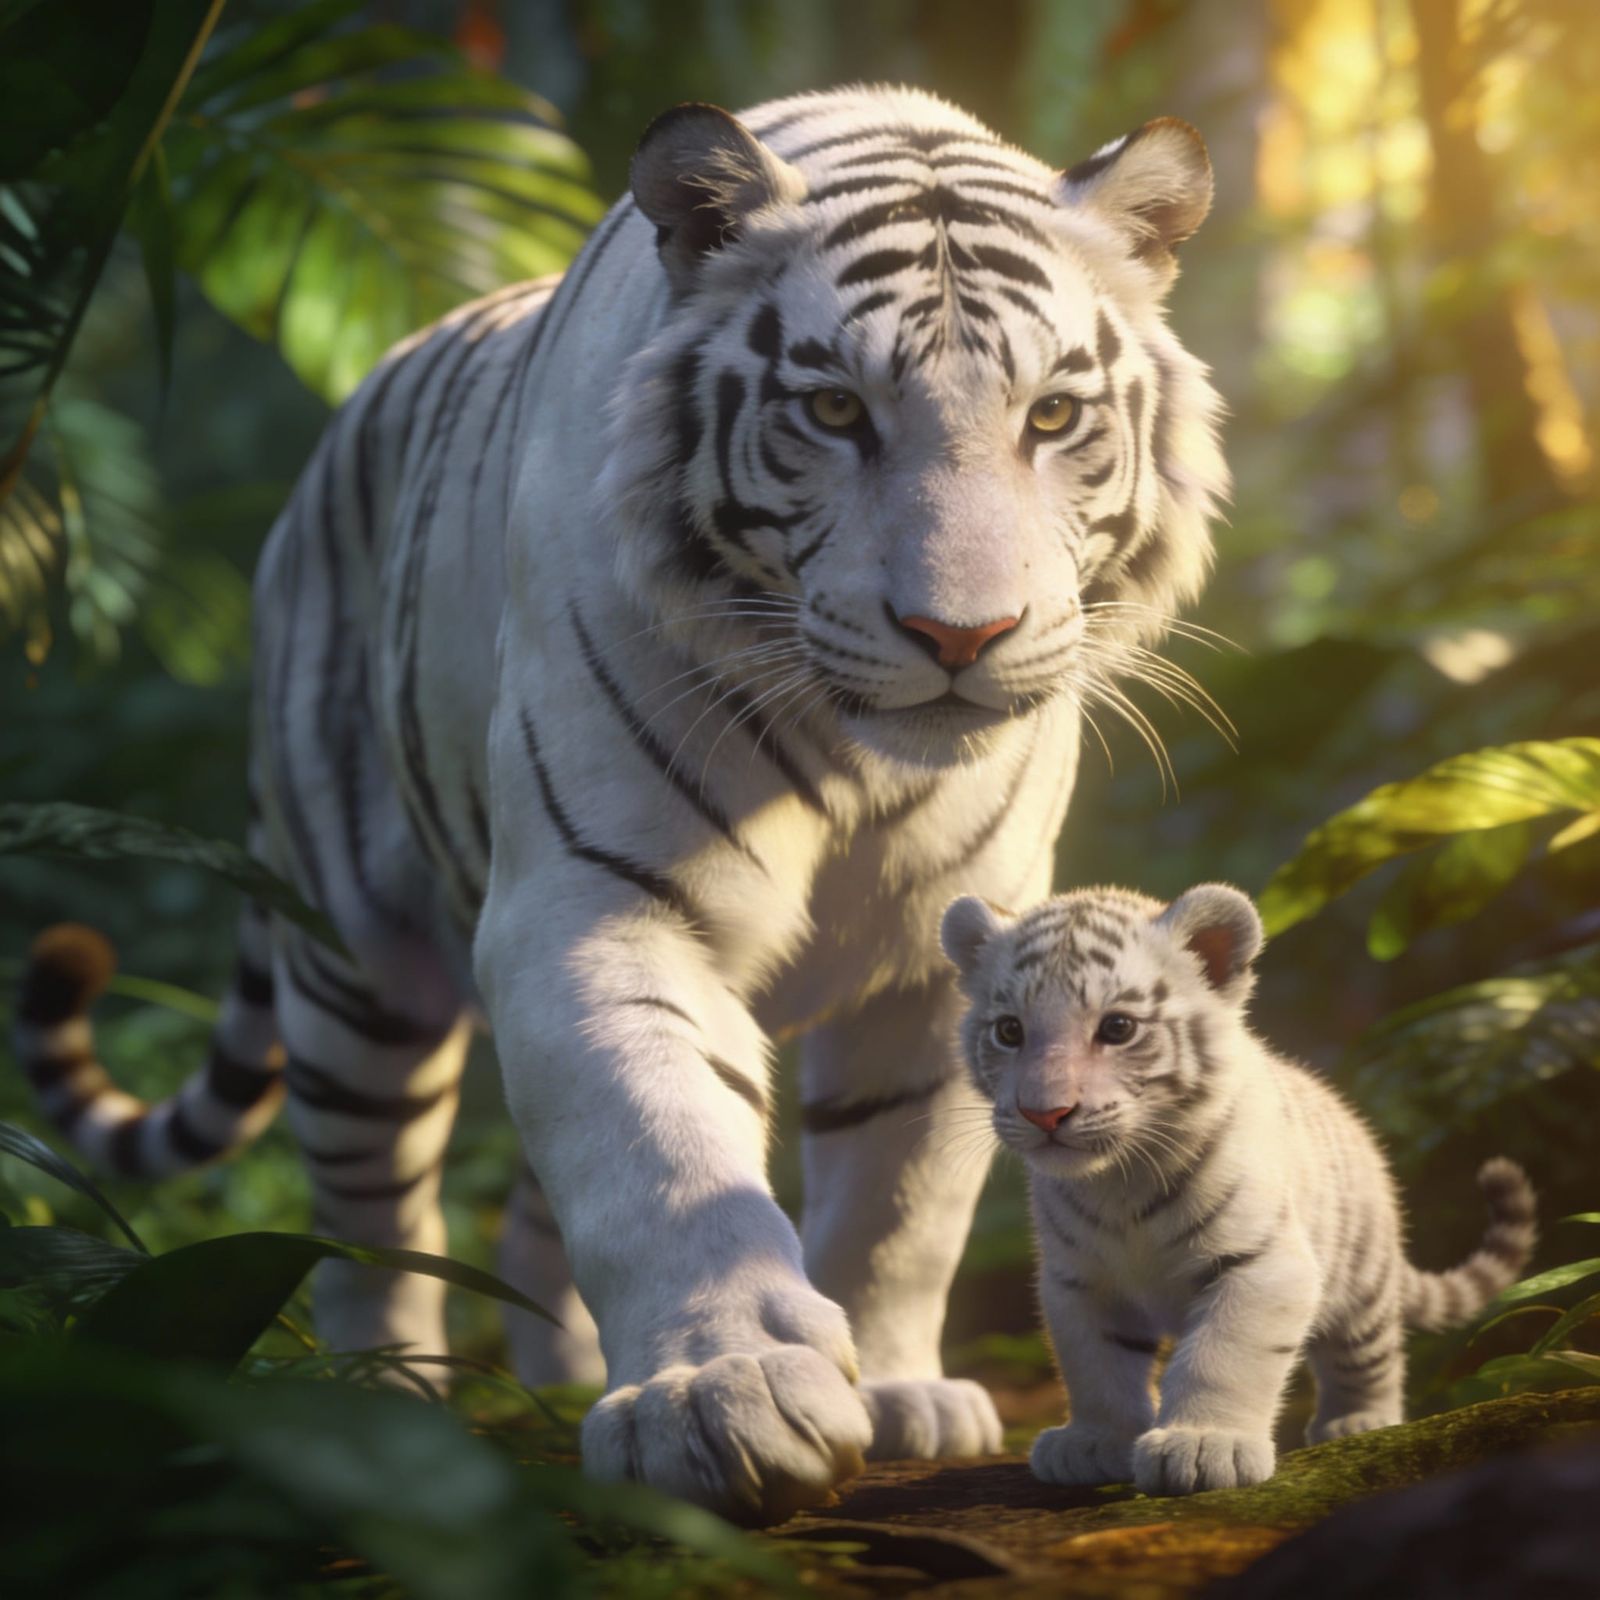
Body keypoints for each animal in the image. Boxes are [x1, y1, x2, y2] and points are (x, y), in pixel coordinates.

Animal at [12, 86, 1227, 1523]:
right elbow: (659, 1151)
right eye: (833, 410)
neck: (863, 766)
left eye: (1049, 416)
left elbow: (900, 1200)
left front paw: (891, 1387)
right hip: (351, 962)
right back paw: (393, 1408)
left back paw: (556, 1369)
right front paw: (719, 1398)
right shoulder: (593, 906)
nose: (959, 634)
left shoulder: (941, 965)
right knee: (369, 1210)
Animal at [940, 883, 1538, 1496]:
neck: (1119, 1181)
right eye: (1009, 1031)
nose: (1044, 1113)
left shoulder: (1261, 1263)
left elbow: (1222, 1355)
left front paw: (1204, 1447)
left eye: (1118, 1028)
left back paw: (1359, 1420)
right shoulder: (1079, 1280)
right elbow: (1095, 1364)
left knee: (1368, 1356)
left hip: (1362, 1281)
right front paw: (1094, 1442)